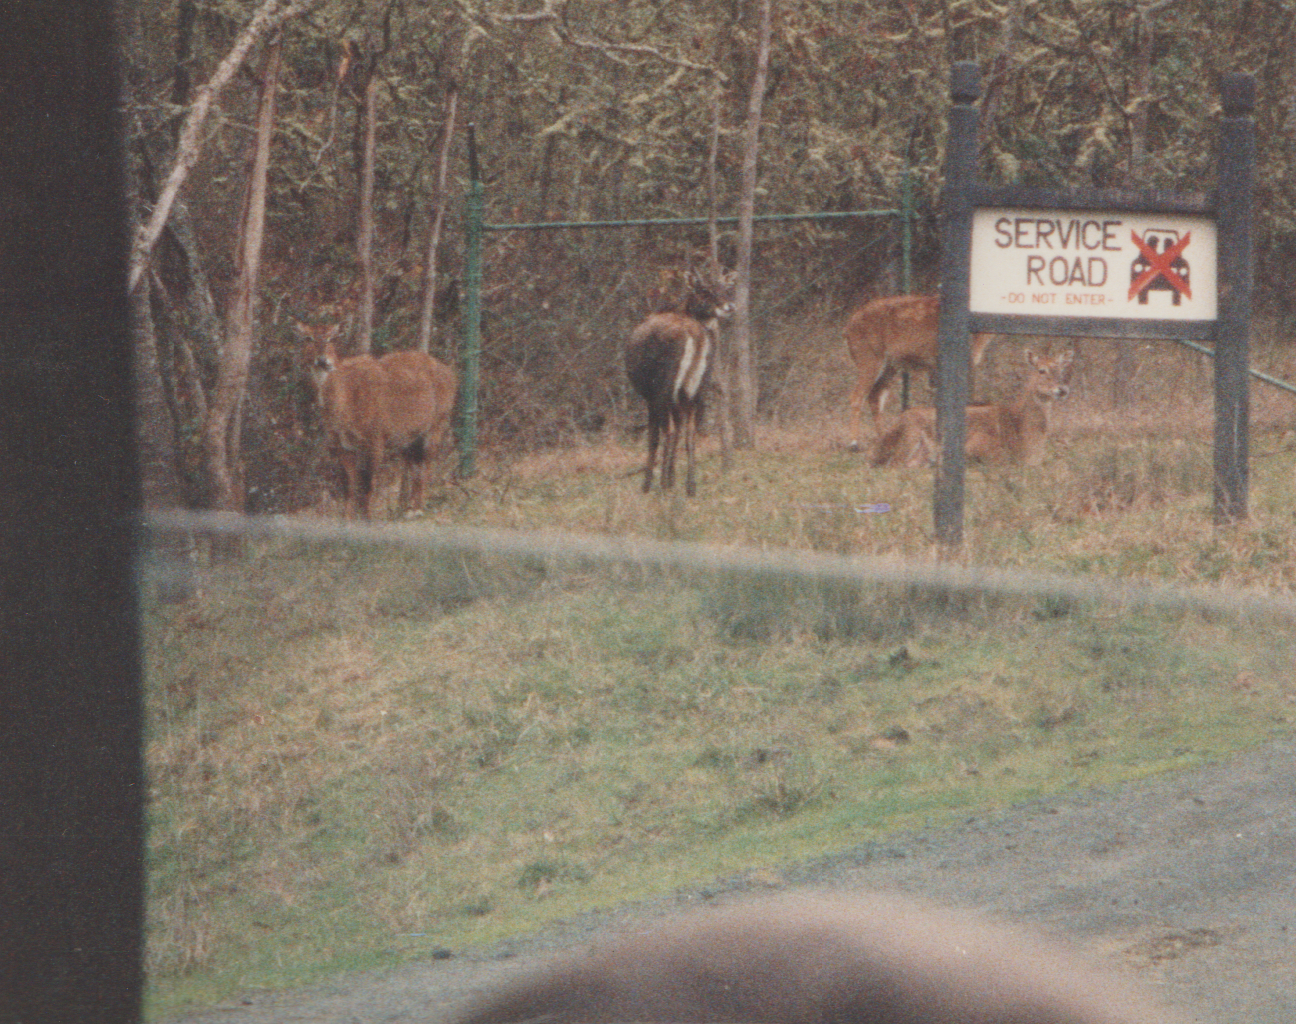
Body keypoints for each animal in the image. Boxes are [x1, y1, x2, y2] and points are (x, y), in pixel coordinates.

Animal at [296, 325, 458, 521]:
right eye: (308, 338)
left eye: (332, 338)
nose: (322, 360)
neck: (344, 407)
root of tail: (451, 374)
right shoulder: (342, 446)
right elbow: (350, 485)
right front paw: (347, 519)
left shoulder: (376, 438)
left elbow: (368, 484)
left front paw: (367, 518)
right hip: (409, 437)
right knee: (414, 464)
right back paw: (409, 508)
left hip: (437, 423)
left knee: (426, 465)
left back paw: (418, 509)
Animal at [624, 264, 736, 497]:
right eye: (704, 291)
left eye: (725, 288)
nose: (729, 306)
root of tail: (697, 337)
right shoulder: (683, 396)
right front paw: (674, 478)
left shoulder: (650, 396)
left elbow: (653, 438)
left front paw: (649, 484)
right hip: (696, 388)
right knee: (690, 433)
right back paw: (690, 486)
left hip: (664, 388)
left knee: (669, 432)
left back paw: (662, 486)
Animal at [844, 294, 995, 451]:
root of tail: (848, 327)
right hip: (869, 358)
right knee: (856, 396)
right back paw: (854, 443)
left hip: (889, 366)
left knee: (875, 397)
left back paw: (882, 438)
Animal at [876, 347, 1078, 471]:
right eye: (1041, 370)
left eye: (1061, 370)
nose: (1062, 389)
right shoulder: (979, 445)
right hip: (910, 436)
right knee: (895, 465)